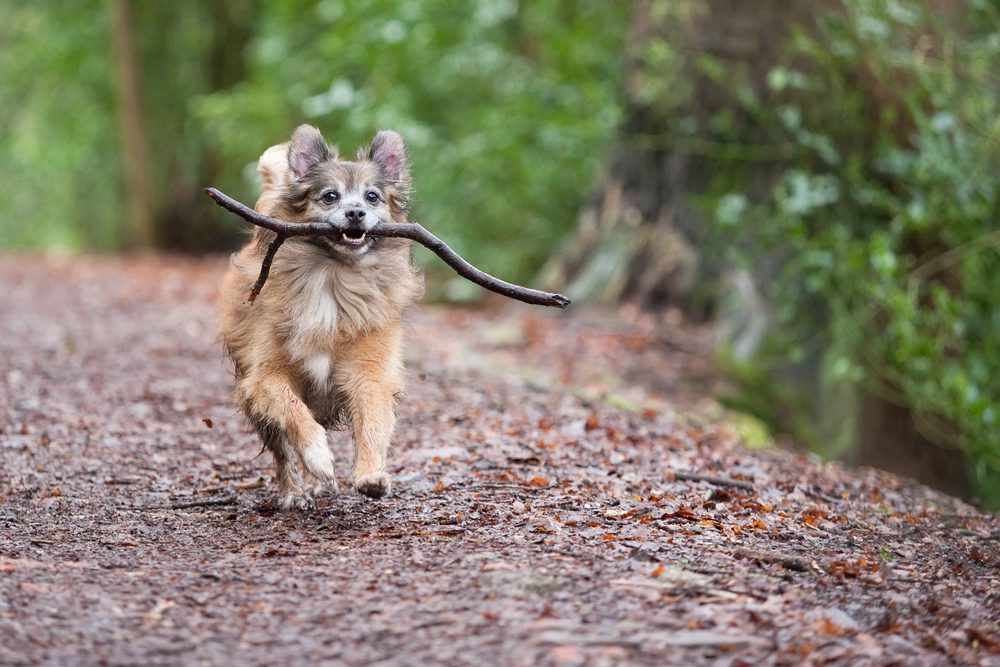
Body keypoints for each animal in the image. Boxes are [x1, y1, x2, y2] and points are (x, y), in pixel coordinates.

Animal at [219, 125, 422, 508]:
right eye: (330, 196)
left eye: (372, 197)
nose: (355, 213)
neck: (335, 278)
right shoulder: (266, 376)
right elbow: (294, 414)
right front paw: (318, 456)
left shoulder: (370, 373)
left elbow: (372, 422)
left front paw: (371, 474)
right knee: (282, 448)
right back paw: (294, 491)